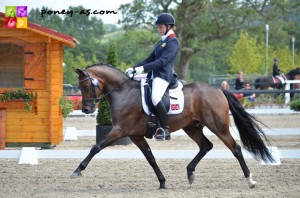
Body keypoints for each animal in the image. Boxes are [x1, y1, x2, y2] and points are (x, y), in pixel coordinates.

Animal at [70, 63, 274, 189]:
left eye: (86, 86)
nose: (86, 109)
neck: (123, 92)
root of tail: (219, 89)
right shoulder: (136, 136)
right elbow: (150, 158)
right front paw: (162, 182)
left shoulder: (120, 130)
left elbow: (96, 147)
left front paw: (77, 171)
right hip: (192, 127)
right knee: (206, 146)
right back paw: (190, 173)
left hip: (218, 126)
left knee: (236, 149)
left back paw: (250, 180)